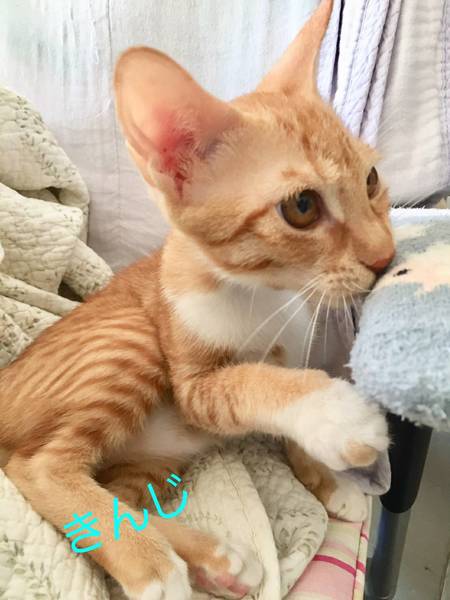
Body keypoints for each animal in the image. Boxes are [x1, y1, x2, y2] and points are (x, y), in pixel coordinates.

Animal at [0, 1, 395, 599]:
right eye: (302, 207)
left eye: (370, 179)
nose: (385, 257)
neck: (265, 295)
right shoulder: (194, 387)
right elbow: (251, 382)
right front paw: (334, 414)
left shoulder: (290, 351)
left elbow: (281, 403)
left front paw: (325, 480)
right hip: (129, 341)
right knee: (37, 467)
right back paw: (153, 566)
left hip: (147, 457)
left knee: (122, 493)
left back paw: (216, 560)